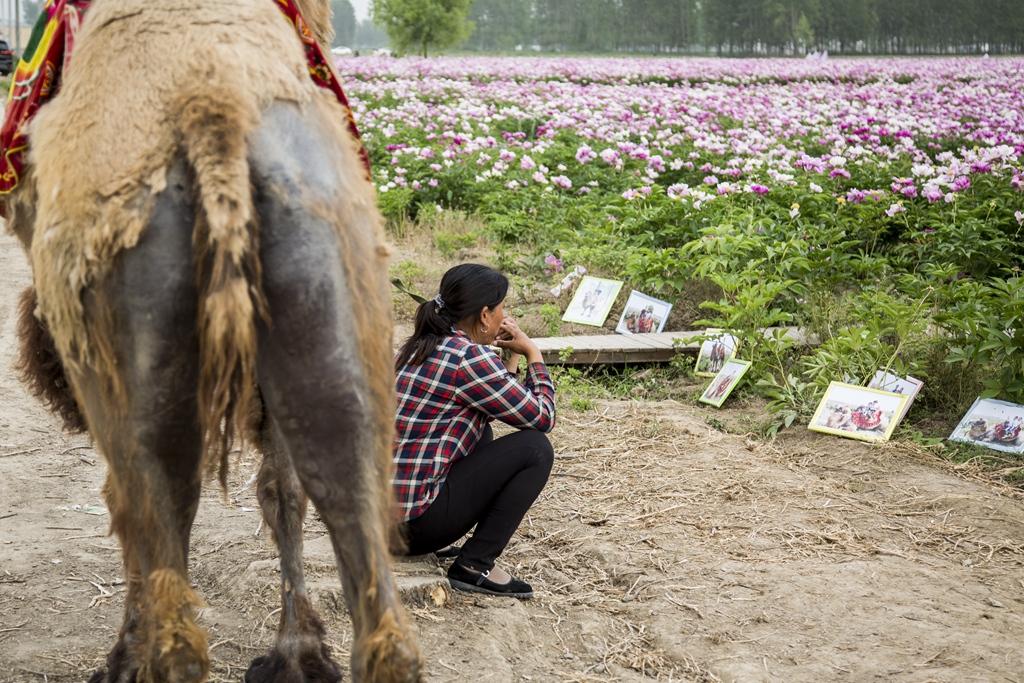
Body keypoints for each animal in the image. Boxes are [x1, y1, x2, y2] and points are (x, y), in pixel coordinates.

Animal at [4, 1, 419, 683]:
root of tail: (213, 106)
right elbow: (283, 490)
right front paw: (301, 648)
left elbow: (123, 506)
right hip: (331, 294)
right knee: (376, 599)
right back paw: (302, 657)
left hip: (140, 348)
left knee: (155, 532)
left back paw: (137, 658)